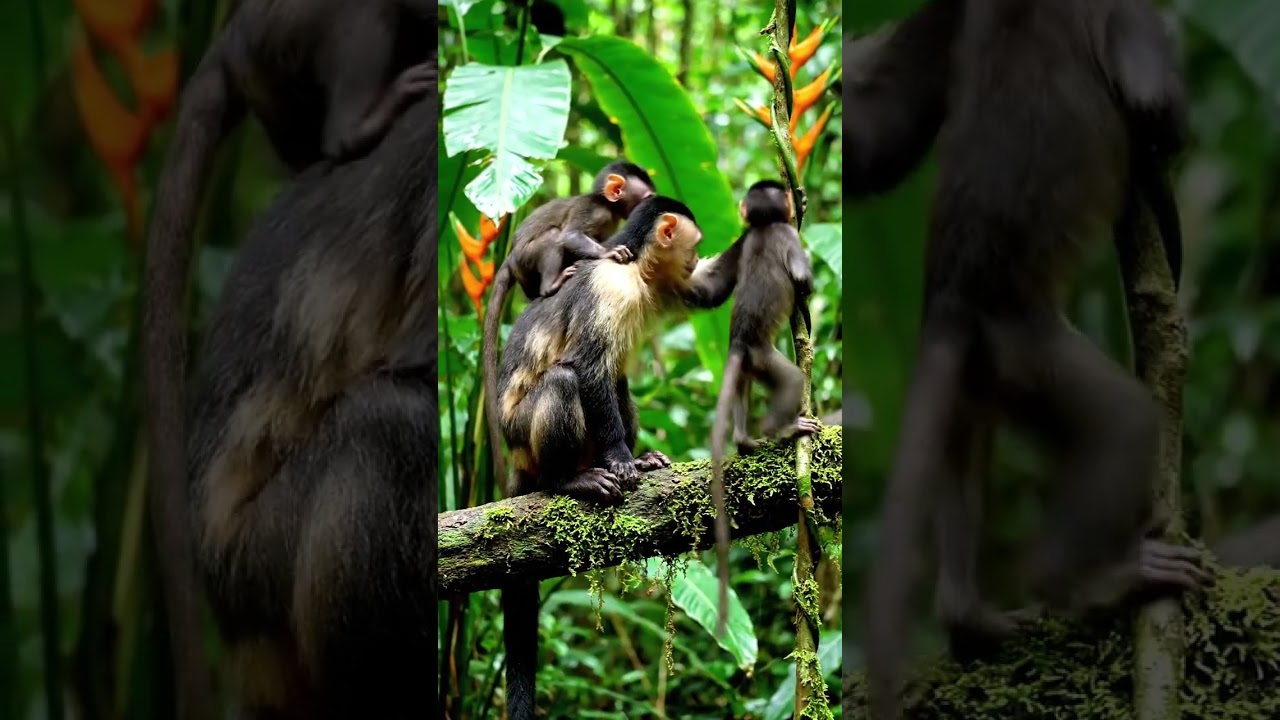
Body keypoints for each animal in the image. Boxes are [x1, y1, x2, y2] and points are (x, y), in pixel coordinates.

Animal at [482, 161, 657, 494]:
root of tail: (509, 260)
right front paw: (606, 253)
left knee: (616, 379)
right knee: (562, 380)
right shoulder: (596, 217)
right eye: (647, 197)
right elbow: (571, 235)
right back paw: (565, 479)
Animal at [495, 196, 748, 719]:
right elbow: (589, 366)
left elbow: (707, 291)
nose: (695, 257)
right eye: (694, 244)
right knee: (568, 378)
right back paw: (567, 480)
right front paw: (619, 460)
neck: (637, 270)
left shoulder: (664, 284)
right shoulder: (610, 285)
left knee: (620, 382)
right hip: (521, 439)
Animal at [864, 2, 1206, 717]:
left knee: (963, 434)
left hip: (982, 365)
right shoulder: (1124, 11)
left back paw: (968, 618)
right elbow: (1153, 104)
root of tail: (953, 295)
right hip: (1029, 350)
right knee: (1128, 422)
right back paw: (1093, 583)